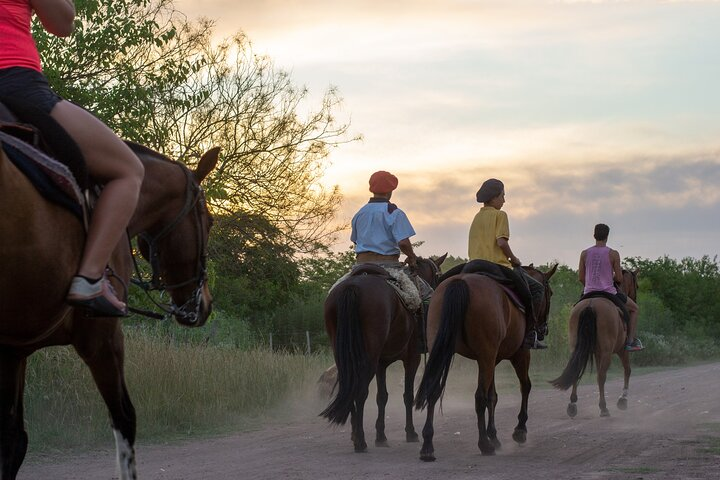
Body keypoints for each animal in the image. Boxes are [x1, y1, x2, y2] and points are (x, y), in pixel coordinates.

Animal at [0, 136, 219, 480]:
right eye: (209, 221)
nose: (205, 303)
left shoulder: (13, 350)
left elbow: (12, 439)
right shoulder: (103, 338)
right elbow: (125, 420)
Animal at [320, 255, 444, 454]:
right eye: (438, 275)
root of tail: (352, 286)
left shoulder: (381, 363)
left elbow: (382, 397)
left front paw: (380, 436)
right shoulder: (412, 359)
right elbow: (407, 395)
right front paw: (411, 433)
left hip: (345, 356)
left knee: (350, 387)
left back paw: (356, 435)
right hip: (368, 359)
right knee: (360, 391)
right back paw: (360, 441)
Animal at [410, 262, 556, 462]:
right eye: (549, 293)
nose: (543, 329)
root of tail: (460, 282)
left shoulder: (491, 359)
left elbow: (492, 396)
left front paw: (493, 435)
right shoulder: (518, 354)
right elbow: (524, 386)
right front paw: (519, 430)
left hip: (442, 349)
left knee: (433, 391)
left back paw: (427, 446)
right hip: (487, 355)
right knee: (479, 397)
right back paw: (484, 444)